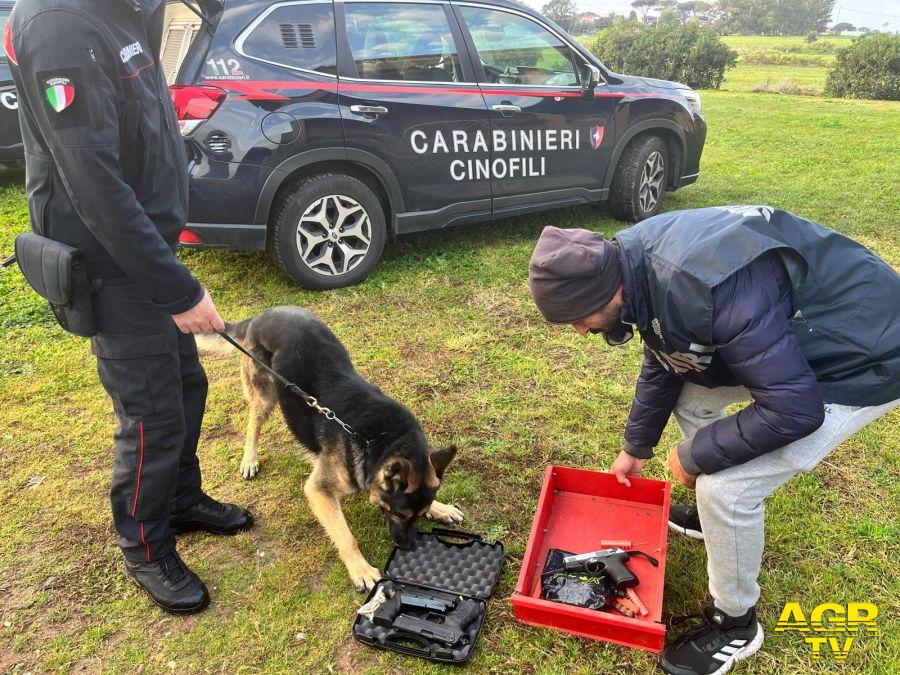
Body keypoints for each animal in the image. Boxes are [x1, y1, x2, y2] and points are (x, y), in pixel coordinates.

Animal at [198, 308, 464, 592]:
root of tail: (262, 315)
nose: (407, 547)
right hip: (264, 396)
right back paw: (250, 459)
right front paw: (361, 569)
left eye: (421, 514)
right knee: (253, 425)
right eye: (397, 513)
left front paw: (441, 508)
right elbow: (346, 536)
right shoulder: (319, 492)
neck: (377, 440)